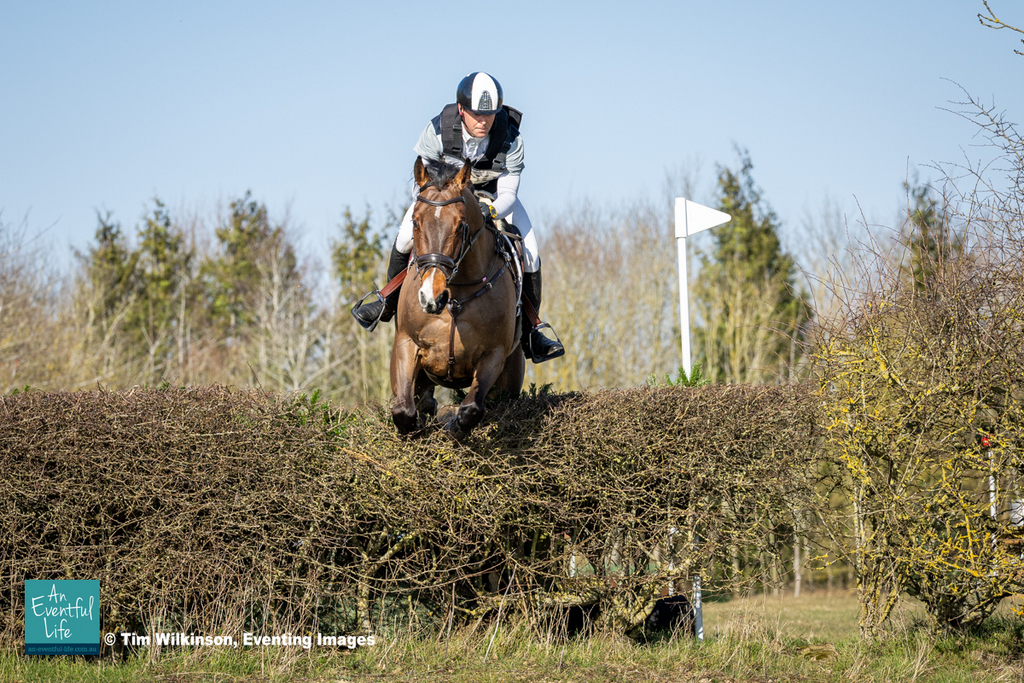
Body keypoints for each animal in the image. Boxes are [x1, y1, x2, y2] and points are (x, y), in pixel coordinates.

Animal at [390, 157, 525, 435]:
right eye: (415, 222)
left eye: (461, 225)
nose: (431, 298)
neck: (456, 293)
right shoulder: (407, 344)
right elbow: (404, 412)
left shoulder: (494, 355)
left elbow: (469, 410)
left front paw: (451, 427)